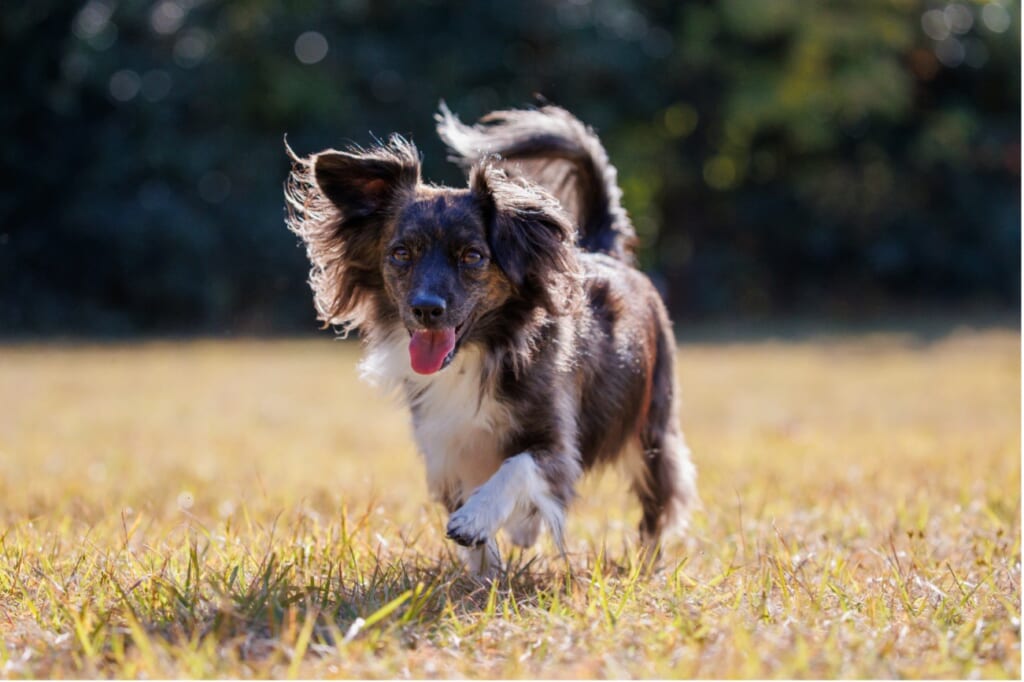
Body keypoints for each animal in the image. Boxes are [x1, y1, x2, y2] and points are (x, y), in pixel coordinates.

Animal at [286, 103, 696, 569]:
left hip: (652, 430)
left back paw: (647, 561)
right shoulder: (444, 445)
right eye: (401, 254)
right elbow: (478, 518)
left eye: (473, 256)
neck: (476, 354)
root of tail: (604, 251)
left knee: (658, 500)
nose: (426, 308)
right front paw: (486, 569)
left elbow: (518, 468)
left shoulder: (556, 442)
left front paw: (476, 519)